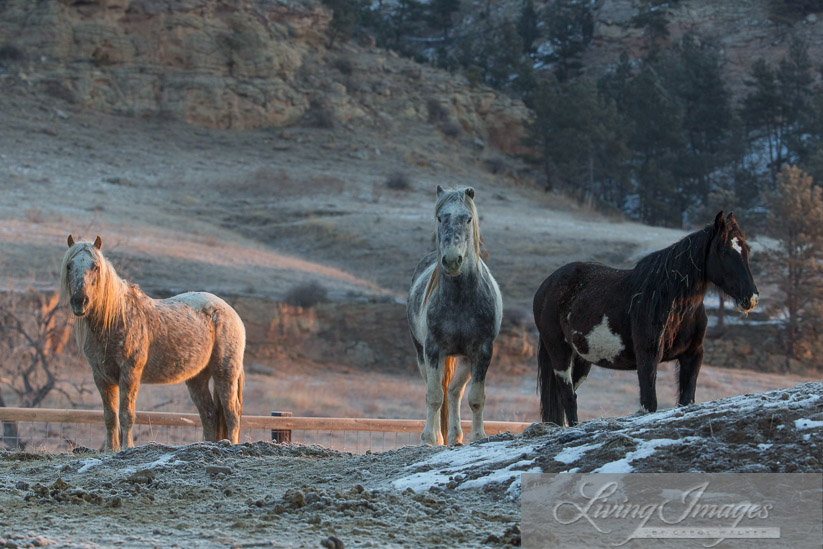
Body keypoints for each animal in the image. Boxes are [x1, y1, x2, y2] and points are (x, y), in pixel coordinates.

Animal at [60, 235, 245, 450]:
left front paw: (127, 447)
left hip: (225, 373)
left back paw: (231, 443)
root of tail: (228, 310)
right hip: (197, 378)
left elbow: (126, 414)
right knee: (209, 414)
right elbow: (110, 417)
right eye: (69, 266)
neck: (116, 317)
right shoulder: (101, 377)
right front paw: (111, 450)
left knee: (232, 413)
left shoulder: (130, 373)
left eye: (95, 266)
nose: (79, 301)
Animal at [406, 186, 502, 444]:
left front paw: (478, 436)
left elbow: (476, 398)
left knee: (454, 392)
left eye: (468, 218)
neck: (461, 301)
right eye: (440, 218)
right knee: (438, 390)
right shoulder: (432, 350)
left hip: (465, 359)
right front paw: (429, 439)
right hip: (422, 353)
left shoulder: (482, 351)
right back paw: (440, 436)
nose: (451, 260)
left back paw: (456, 437)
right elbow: (433, 395)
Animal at [536, 212, 760, 426]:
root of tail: (546, 286)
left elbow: (687, 400)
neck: (672, 299)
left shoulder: (692, 355)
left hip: (582, 359)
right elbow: (649, 403)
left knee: (569, 395)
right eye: (724, 250)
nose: (751, 298)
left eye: (747, 249)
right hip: (560, 353)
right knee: (568, 397)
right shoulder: (648, 356)